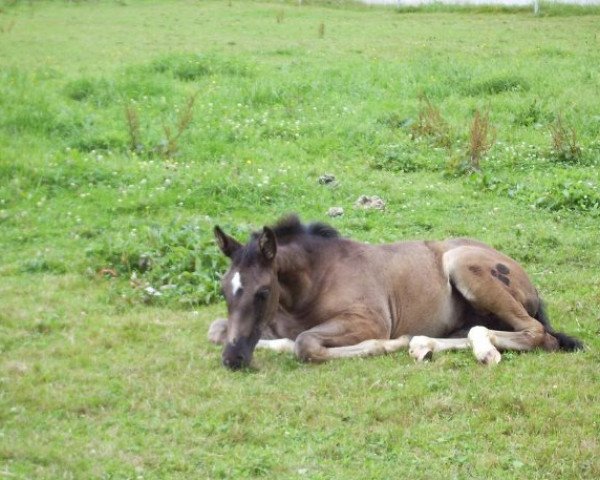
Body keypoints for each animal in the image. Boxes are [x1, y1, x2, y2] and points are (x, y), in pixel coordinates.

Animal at [207, 215, 580, 372]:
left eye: (262, 291)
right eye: (225, 289)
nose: (233, 359)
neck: (316, 279)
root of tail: (530, 285)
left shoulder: (369, 321)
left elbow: (305, 343)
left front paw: (386, 345)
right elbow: (215, 330)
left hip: (462, 265)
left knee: (538, 334)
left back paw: (479, 350)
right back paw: (422, 346)